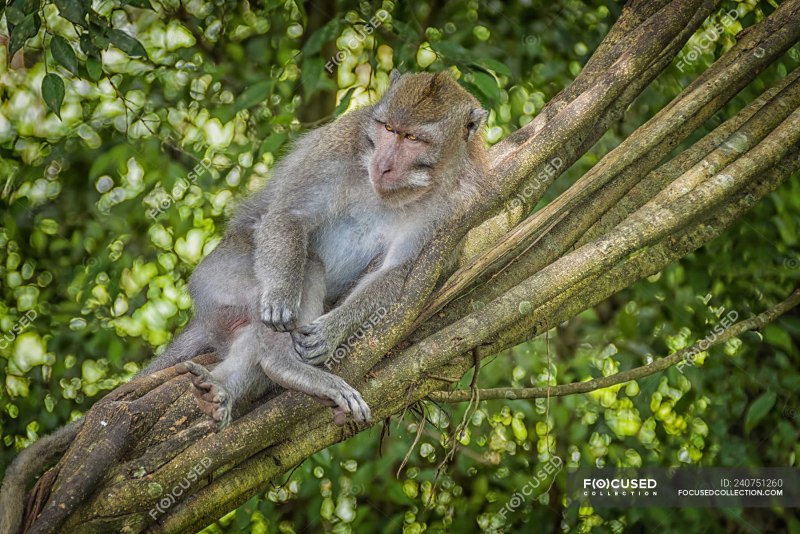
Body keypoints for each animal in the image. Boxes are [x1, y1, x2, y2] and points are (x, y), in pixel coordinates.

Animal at [0, 70, 488, 533]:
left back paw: (230, 388)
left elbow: (397, 274)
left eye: (413, 139)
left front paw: (331, 332)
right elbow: (289, 216)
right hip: (220, 274)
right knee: (300, 266)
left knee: (253, 337)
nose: (384, 165)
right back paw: (285, 361)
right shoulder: (344, 140)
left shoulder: (455, 205)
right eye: (387, 129)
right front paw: (285, 303)